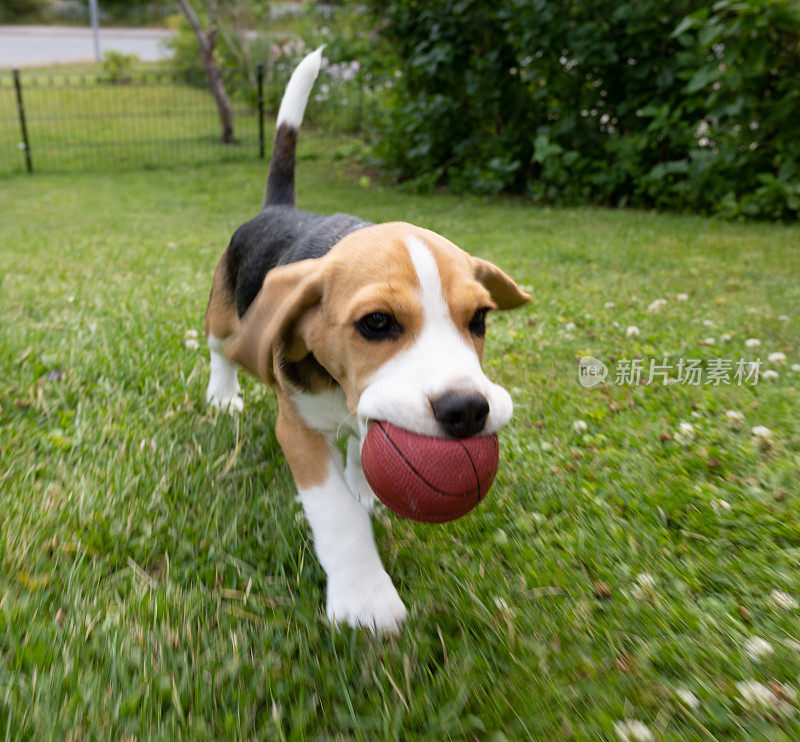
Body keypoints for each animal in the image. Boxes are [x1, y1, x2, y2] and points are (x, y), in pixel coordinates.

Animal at [205, 49, 532, 636]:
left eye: (479, 318)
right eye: (376, 323)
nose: (468, 410)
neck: (342, 391)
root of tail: (276, 211)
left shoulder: (372, 410)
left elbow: (364, 449)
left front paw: (365, 489)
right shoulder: (297, 430)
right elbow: (336, 511)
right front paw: (365, 598)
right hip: (223, 314)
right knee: (221, 350)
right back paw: (222, 396)